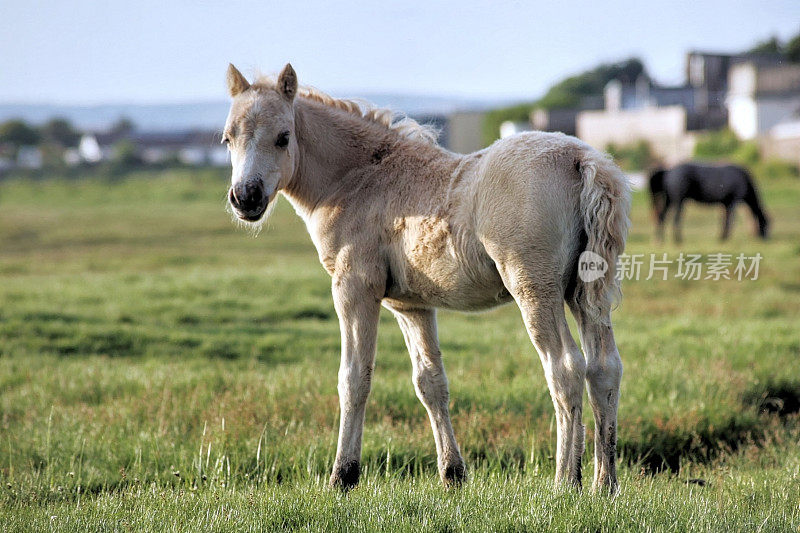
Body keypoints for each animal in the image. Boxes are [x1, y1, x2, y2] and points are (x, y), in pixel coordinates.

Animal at [220, 64, 632, 492]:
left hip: (535, 288)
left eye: (284, 137)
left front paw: (343, 476)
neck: (358, 179)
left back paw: (566, 482)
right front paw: (453, 475)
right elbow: (431, 383)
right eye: (227, 138)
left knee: (565, 368)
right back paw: (605, 485)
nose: (246, 197)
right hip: (583, 292)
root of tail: (581, 158)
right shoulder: (410, 305)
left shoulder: (354, 287)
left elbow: (354, 379)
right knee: (604, 368)